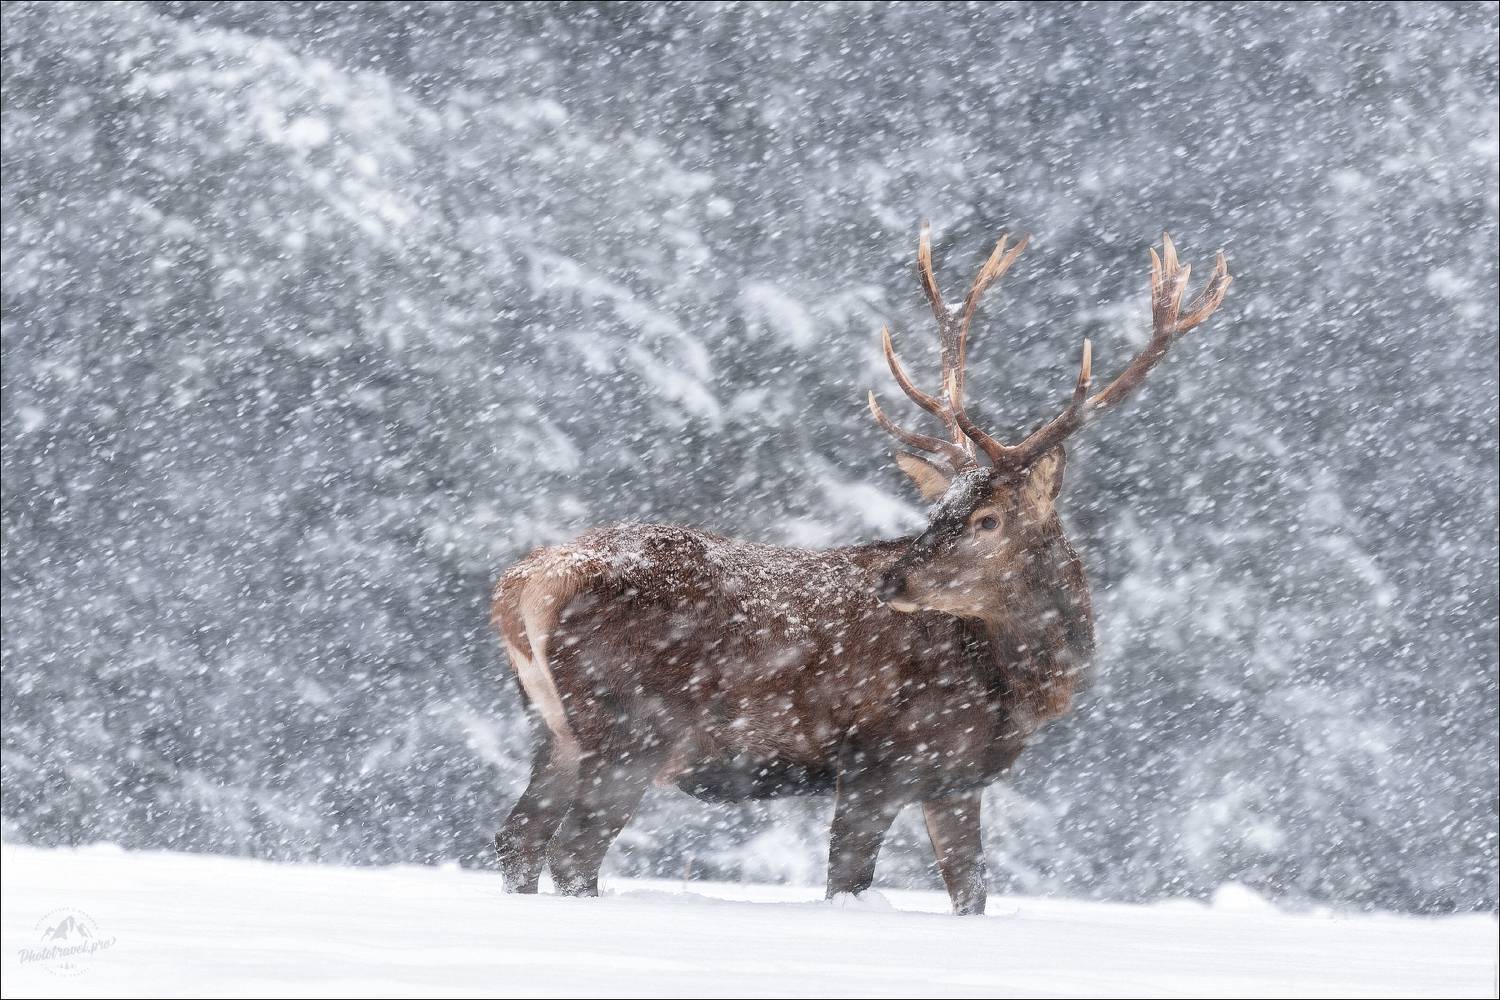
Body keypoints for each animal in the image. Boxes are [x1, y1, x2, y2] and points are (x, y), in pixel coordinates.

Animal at [491, 224, 1231, 915]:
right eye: (944, 509)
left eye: (987, 518)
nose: (893, 581)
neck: (1015, 692)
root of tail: (526, 585)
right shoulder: (882, 761)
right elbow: (848, 883)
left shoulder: (955, 780)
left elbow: (971, 892)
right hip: (633, 729)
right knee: (572, 850)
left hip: (553, 729)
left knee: (517, 839)